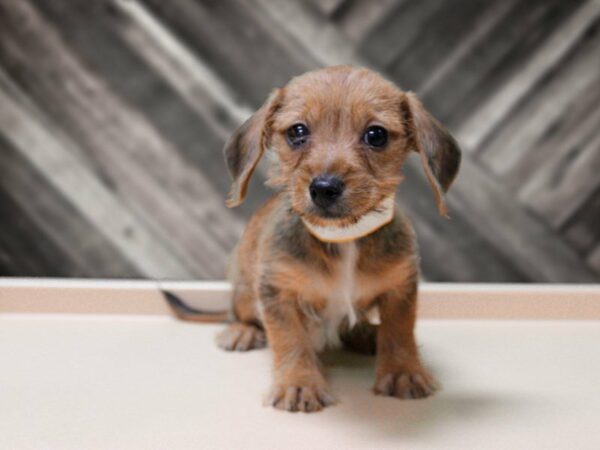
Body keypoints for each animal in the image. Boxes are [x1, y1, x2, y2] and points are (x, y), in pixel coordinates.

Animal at [218, 65, 462, 414]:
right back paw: (242, 331)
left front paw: (403, 372)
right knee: (243, 314)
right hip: (244, 292)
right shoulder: (277, 292)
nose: (324, 188)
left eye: (376, 135)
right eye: (297, 131)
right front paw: (299, 384)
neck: (344, 237)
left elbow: (400, 331)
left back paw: (368, 334)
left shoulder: (400, 287)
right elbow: (291, 340)